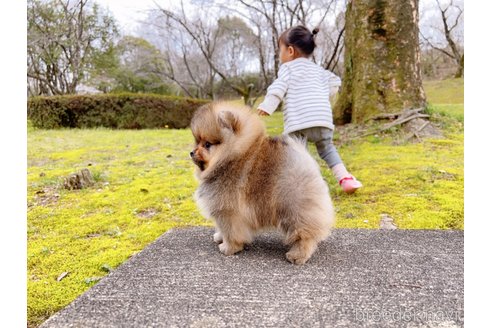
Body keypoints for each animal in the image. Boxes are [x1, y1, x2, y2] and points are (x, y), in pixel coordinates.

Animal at [188, 102, 334, 264]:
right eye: (197, 142)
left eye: (207, 144)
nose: (192, 152)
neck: (229, 158)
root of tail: (303, 157)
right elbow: (222, 228)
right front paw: (220, 237)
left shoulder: (228, 210)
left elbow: (231, 231)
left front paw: (228, 248)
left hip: (294, 207)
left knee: (305, 234)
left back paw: (297, 255)